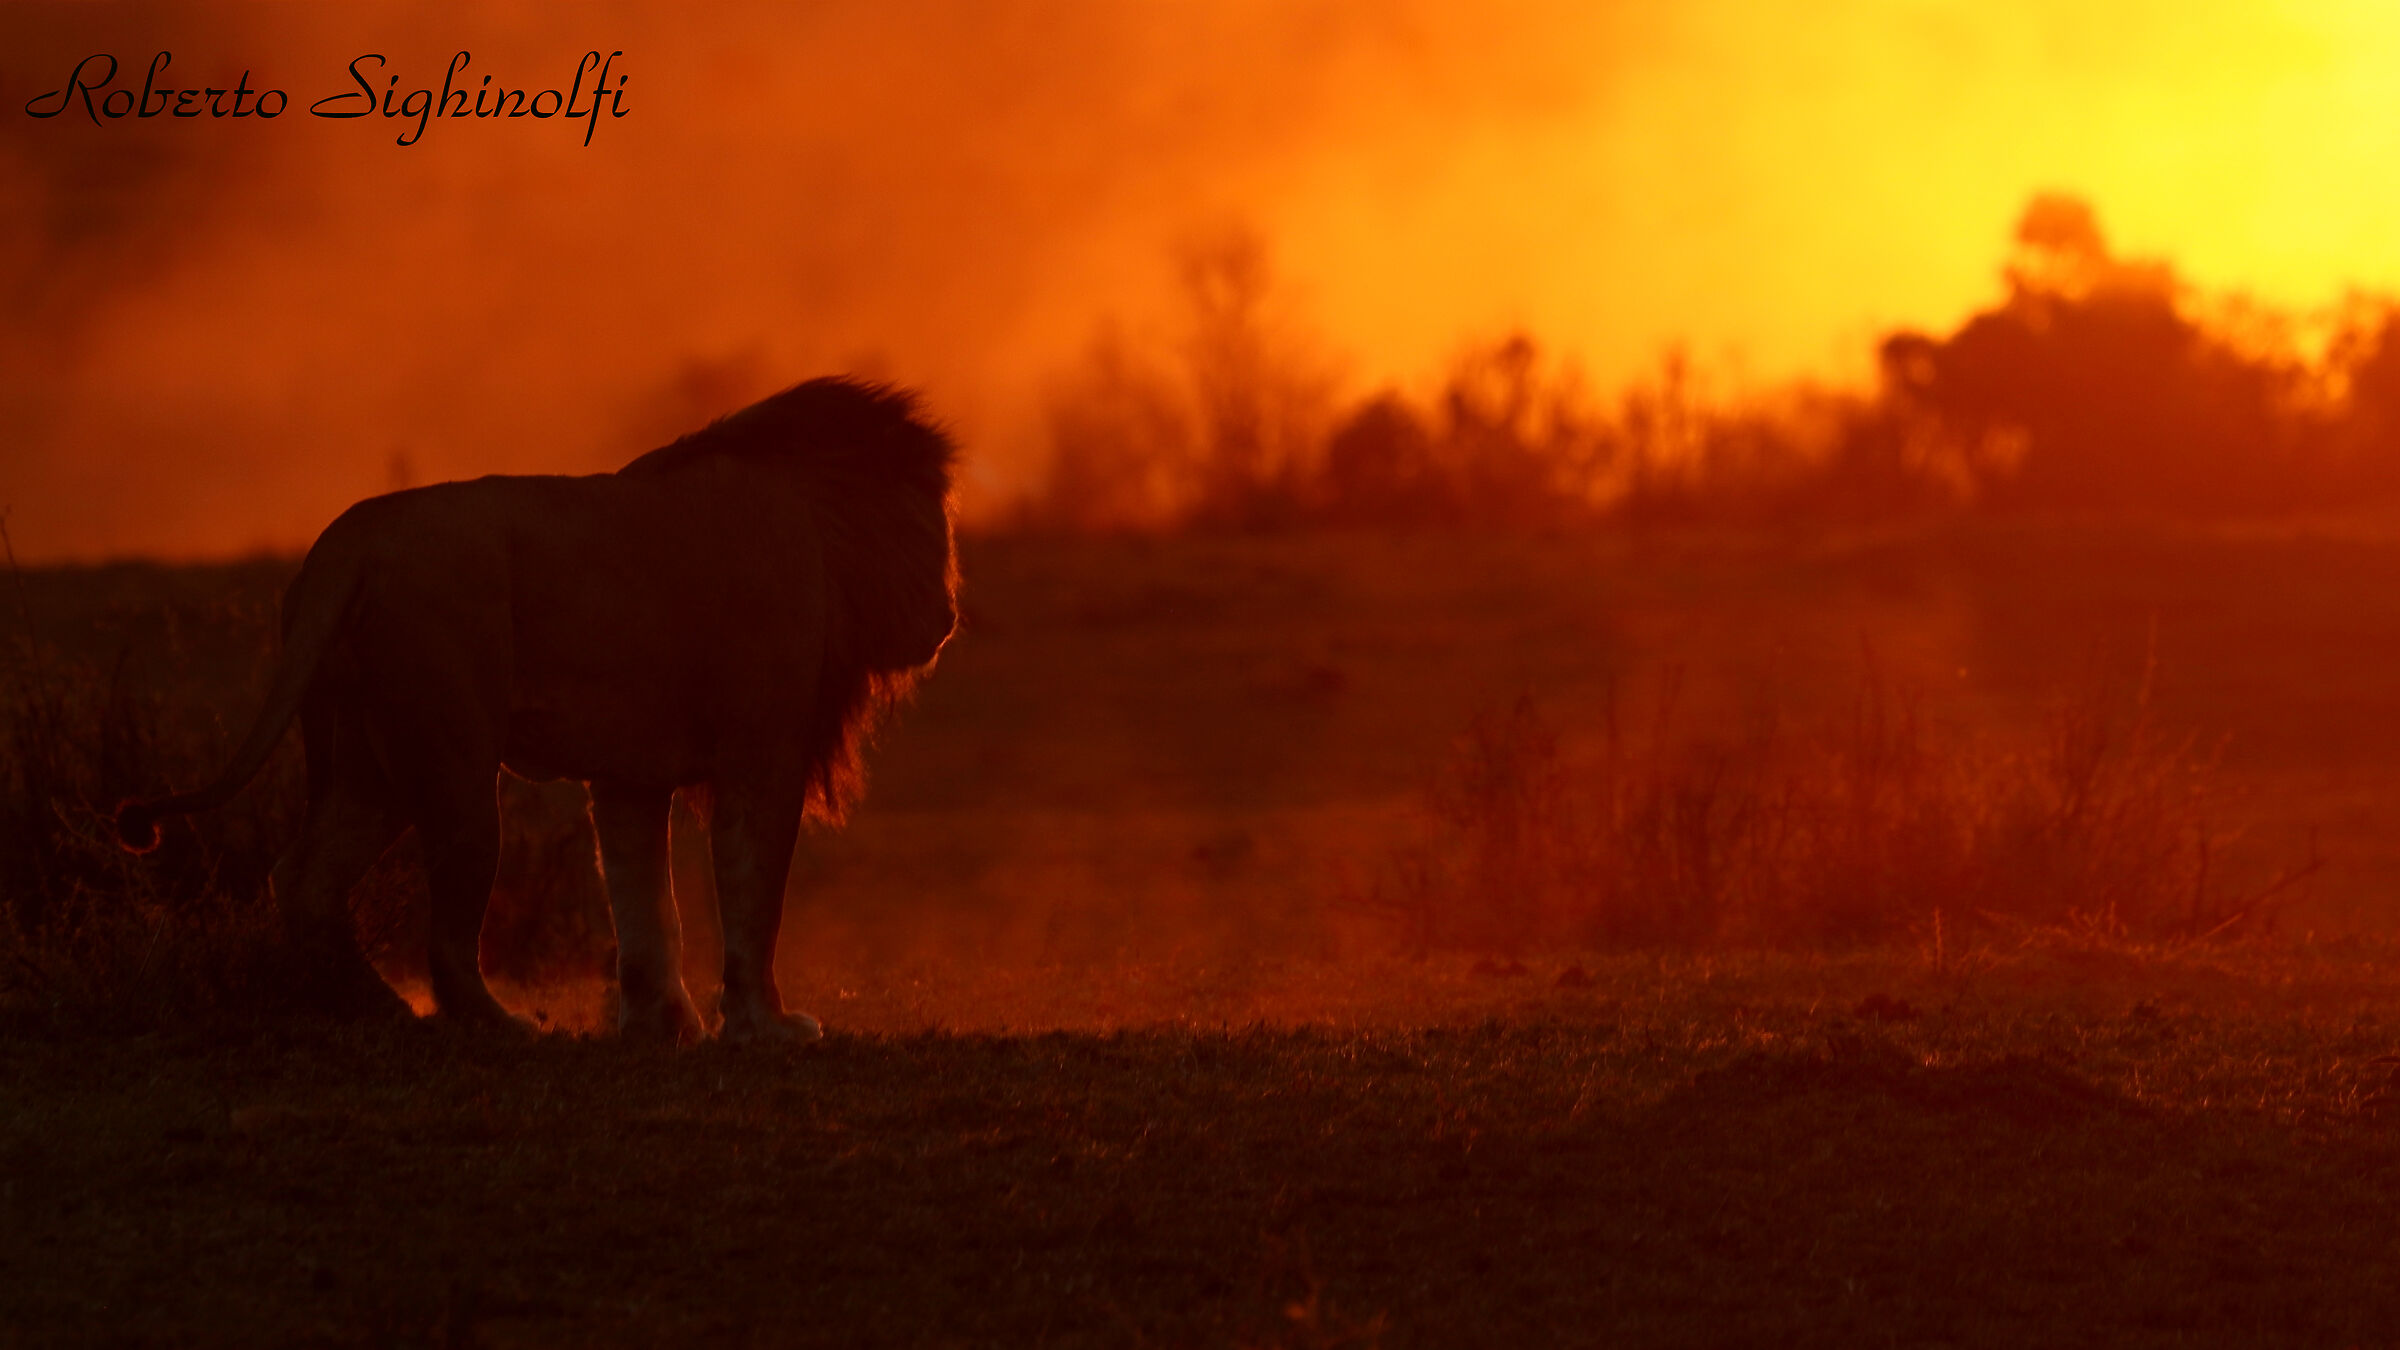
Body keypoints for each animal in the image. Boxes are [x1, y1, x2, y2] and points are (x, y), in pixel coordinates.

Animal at [116, 377, 959, 1042]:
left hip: (365, 764)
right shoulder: (763, 751)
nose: (948, 617)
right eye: (935, 531)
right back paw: (499, 1024)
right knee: (448, 931)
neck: (822, 526)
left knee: (302, 877)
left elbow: (645, 902)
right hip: (456, 756)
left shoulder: (629, 775)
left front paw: (660, 1024)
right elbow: (754, 889)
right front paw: (767, 1025)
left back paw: (375, 1011)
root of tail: (352, 537)